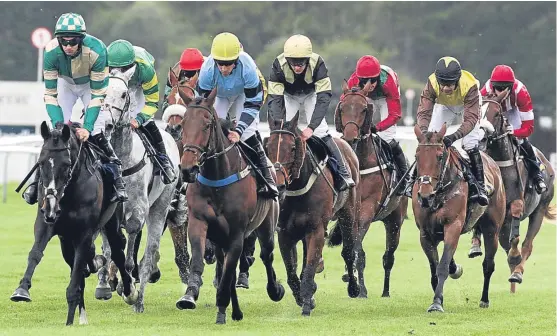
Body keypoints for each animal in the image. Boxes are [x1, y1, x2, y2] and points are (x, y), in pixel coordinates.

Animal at [10, 123, 135, 326]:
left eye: (67, 164)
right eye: (41, 163)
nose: (51, 205)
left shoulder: (83, 234)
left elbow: (76, 277)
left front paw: (69, 320)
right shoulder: (46, 223)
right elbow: (36, 253)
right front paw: (21, 290)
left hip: (112, 222)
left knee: (116, 251)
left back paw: (130, 292)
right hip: (66, 240)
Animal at [176, 88, 284, 322]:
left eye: (207, 124)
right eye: (183, 123)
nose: (188, 169)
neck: (217, 179)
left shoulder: (237, 233)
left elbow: (228, 274)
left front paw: (222, 307)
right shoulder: (199, 222)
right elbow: (200, 261)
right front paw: (189, 295)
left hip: (266, 225)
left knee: (266, 255)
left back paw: (274, 290)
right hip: (220, 239)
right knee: (224, 262)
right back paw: (235, 311)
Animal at [264, 111, 360, 316]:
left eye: (293, 148)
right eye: (267, 147)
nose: (279, 186)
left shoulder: (316, 230)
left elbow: (308, 270)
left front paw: (307, 304)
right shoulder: (285, 233)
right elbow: (292, 273)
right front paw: (302, 297)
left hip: (349, 214)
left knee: (348, 252)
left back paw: (354, 287)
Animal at [334, 82, 408, 298]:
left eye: (364, 109)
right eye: (342, 108)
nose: (350, 137)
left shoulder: (367, 210)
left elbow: (358, 250)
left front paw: (361, 289)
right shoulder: (350, 212)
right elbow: (355, 248)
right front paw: (353, 281)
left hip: (395, 220)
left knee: (388, 257)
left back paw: (385, 292)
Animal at [410, 123, 506, 312]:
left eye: (440, 156)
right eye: (417, 156)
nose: (424, 196)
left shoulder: (453, 225)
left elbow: (442, 266)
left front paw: (436, 303)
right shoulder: (425, 233)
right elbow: (434, 267)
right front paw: (439, 296)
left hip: (492, 229)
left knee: (488, 264)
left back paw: (484, 299)